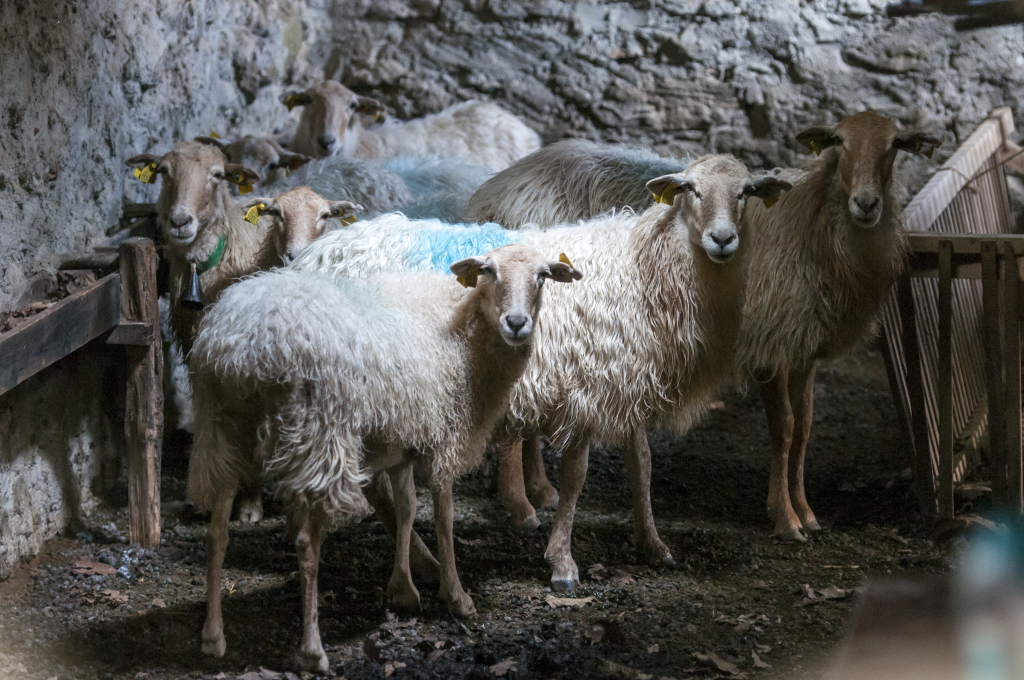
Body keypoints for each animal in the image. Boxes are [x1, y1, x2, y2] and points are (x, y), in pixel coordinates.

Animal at [187, 246, 581, 671]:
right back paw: (312, 650)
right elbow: (443, 518)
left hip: (222, 432)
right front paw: (456, 596)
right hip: (320, 438)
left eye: (543, 276)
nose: (517, 323)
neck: (466, 337)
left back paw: (212, 637)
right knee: (307, 543)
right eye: (488, 271)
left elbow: (407, 509)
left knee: (216, 534)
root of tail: (244, 343)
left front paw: (403, 588)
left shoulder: (403, 443)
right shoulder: (443, 436)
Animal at [288, 156, 790, 593]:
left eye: (746, 192)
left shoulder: (622, 379)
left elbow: (642, 463)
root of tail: (315, 256)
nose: (722, 239)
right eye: (690, 189)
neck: (643, 267)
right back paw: (425, 562)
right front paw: (562, 562)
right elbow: (577, 476)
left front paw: (653, 544)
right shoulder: (589, 386)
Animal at [737, 109, 942, 540]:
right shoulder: (768, 342)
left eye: (895, 145)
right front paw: (786, 521)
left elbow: (804, 426)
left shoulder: (804, 347)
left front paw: (805, 512)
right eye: (838, 141)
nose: (866, 203)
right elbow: (782, 427)